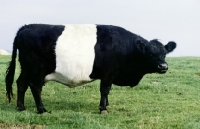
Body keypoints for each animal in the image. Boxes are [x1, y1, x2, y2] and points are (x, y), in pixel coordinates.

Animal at [5, 23, 177, 114]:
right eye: (150, 54)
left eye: (164, 53)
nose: (163, 66)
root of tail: (26, 27)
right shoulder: (109, 72)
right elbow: (105, 89)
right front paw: (103, 109)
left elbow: (107, 91)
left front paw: (106, 105)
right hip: (37, 69)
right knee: (35, 86)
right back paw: (42, 110)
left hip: (26, 68)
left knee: (21, 83)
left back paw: (21, 107)